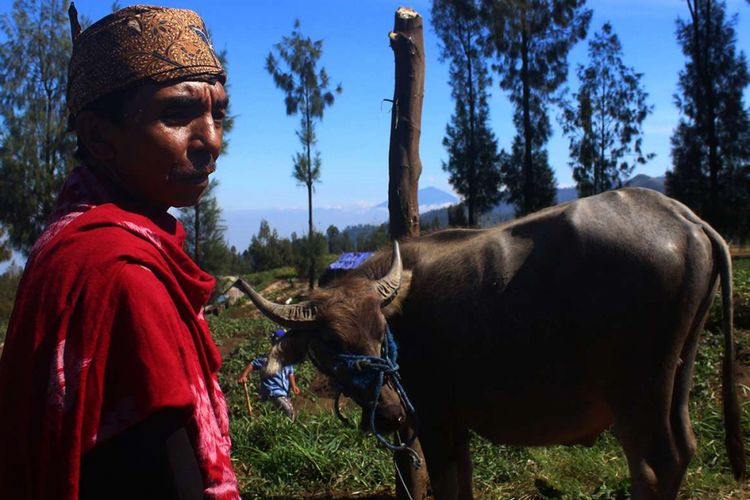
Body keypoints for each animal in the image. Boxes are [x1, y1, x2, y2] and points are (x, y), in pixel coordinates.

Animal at [242, 188, 748, 500]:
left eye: (379, 331)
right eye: (330, 341)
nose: (389, 413)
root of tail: (686, 219)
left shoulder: (435, 422)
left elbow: (447, 487)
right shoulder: (452, 425)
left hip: (637, 391)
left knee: (653, 465)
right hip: (676, 375)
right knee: (683, 449)